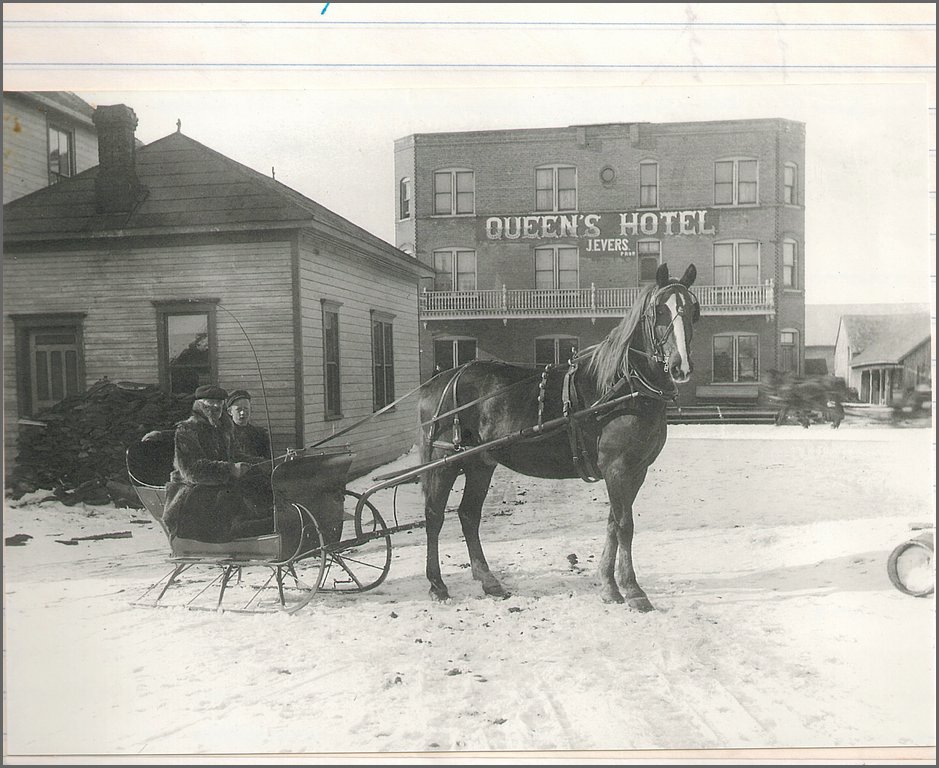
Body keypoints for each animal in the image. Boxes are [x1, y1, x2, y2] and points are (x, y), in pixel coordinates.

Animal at [418, 264, 696, 612]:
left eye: (694, 309)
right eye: (659, 310)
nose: (680, 366)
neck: (620, 386)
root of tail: (440, 380)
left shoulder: (635, 470)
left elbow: (612, 525)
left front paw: (609, 586)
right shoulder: (618, 468)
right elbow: (625, 525)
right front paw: (633, 590)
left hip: (480, 464)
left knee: (469, 515)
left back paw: (490, 582)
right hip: (443, 462)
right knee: (434, 517)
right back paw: (437, 584)